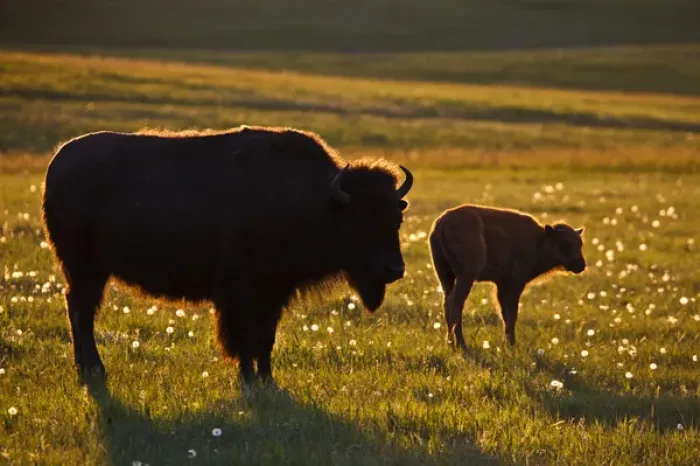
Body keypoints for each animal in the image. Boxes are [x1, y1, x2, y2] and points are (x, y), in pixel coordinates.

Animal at [41, 126, 413, 385]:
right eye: (360, 222)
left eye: (396, 219)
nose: (394, 269)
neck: (318, 201)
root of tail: (57, 162)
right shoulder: (240, 293)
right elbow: (242, 339)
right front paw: (248, 378)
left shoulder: (273, 294)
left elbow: (265, 338)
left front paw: (266, 379)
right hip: (85, 268)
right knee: (81, 310)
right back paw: (95, 370)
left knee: (79, 308)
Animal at [428, 204, 585, 350]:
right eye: (565, 244)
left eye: (580, 244)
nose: (581, 265)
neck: (538, 241)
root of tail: (442, 224)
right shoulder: (513, 284)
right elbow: (511, 314)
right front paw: (511, 344)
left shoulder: (501, 285)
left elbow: (505, 314)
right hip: (466, 276)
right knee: (455, 303)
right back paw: (462, 345)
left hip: (446, 276)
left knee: (446, 303)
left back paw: (451, 344)